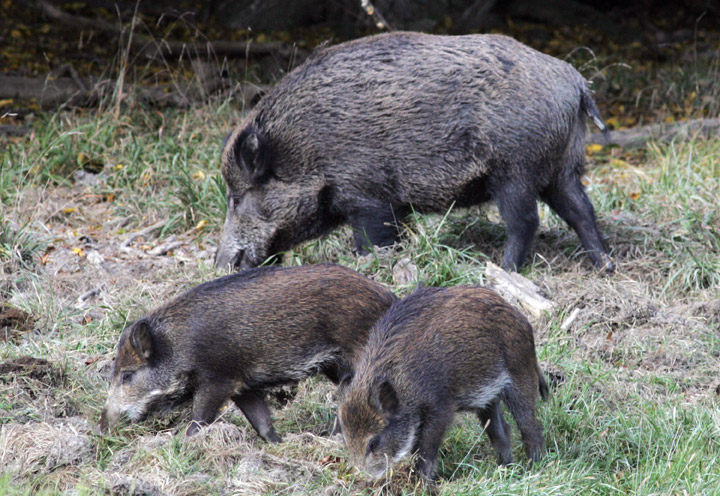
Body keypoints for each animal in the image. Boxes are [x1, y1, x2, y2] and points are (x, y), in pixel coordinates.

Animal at [99, 263, 396, 442]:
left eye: (127, 375)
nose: (102, 427)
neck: (178, 346)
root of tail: (389, 298)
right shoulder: (243, 386)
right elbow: (262, 422)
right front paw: (276, 443)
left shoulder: (217, 379)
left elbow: (200, 418)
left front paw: (186, 442)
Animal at [215, 31, 614, 273]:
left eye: (237, 198)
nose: (220, 265)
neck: (304, 153)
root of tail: (575, 82)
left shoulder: (369, 197)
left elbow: (372, 239)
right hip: (560, 166)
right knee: (580, 209)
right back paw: (604, 264)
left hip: (516, 169)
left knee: (525, 221)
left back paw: (502, 270)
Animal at [337, 286, 548, 480]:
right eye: (347, 441)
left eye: (374, 442)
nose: (364, 480)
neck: (403, 381)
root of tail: (521, 319)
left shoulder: (440, 408)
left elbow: (426, 449)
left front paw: (422, 481)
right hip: (488, 398)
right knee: (501, 431)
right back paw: (505, 470)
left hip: (520, 377)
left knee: (531, 427)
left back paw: (534, 468)